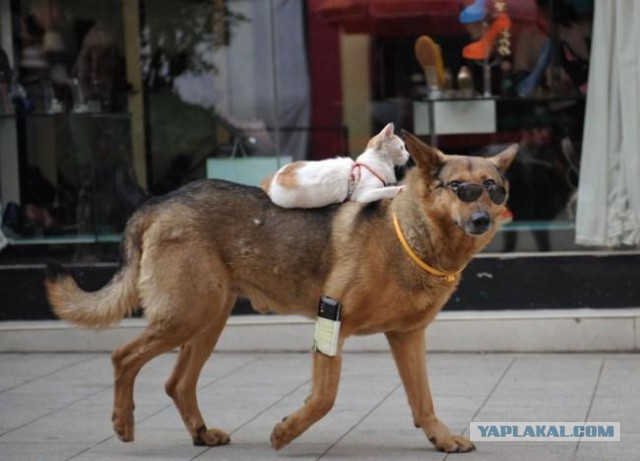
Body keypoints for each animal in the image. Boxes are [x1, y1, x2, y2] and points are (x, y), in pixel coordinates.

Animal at [45, 132, 516, 452]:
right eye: (460, 189)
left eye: (493, 189)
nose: (481, 221)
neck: (409, 234)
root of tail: (159, 201)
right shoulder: (332, 320)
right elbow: (324, 397)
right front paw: (287, 431)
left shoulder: (407, 337)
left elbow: (423, 400)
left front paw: (440, 437)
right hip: (187, 315)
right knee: (123, 357)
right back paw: (123, 423)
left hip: (207, 321)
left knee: (176, 383)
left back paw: (200, 432)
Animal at [262, 123, 408, 208]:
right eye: (401, 148)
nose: (408, 155)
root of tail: (270, 179)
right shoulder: (364, 194)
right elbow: (387, 190)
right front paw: (402, 188)